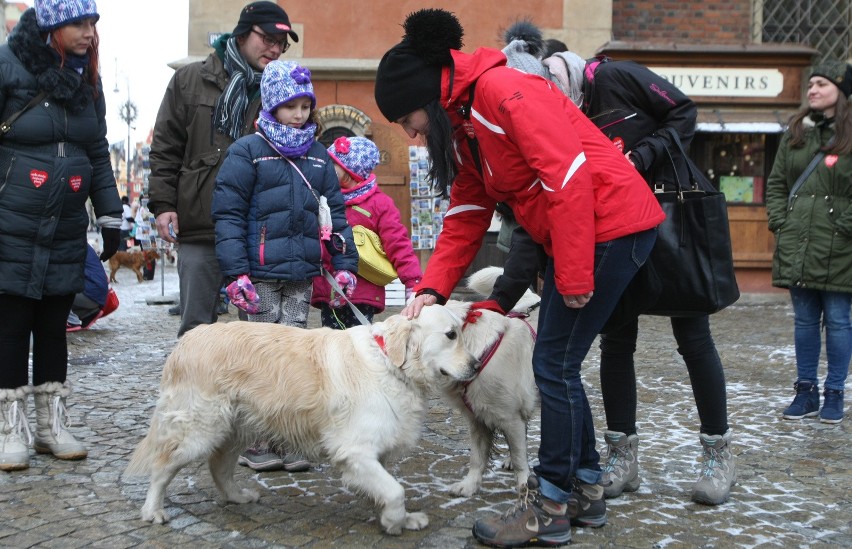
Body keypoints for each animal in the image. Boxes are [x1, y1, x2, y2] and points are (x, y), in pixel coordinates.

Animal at [124, 306, 480, 532]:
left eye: (462, 333)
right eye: (450, 335)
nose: (477, 365)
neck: (391, 363)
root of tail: (186, 341)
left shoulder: (373, 454)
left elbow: (388, 487)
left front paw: (402, 519)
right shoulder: (355, 450)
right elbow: (395, 491)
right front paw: (394, 522)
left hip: (236, 428)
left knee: (219, 466)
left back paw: (238, 496)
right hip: (200, 429)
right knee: (162, 466)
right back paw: (153, 511)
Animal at [440, 266, 540, 496]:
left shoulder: (510, 416)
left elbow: (520, 457)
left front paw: (525, 485)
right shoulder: (476, 417)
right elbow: (477, 458)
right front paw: (469, 485)